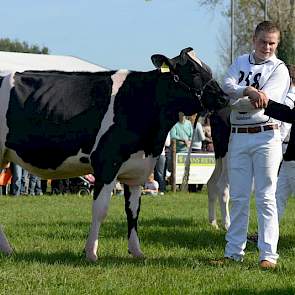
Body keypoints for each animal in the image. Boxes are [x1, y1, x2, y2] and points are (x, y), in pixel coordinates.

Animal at [0, 47, 229, 262]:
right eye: (193, 70)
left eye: (208, 69)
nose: (224, 97)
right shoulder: (106, 163)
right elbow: (100, 209)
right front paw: (91, 252)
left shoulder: (138, 169)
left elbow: (133, 211)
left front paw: (136, 251)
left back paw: (7, 249)